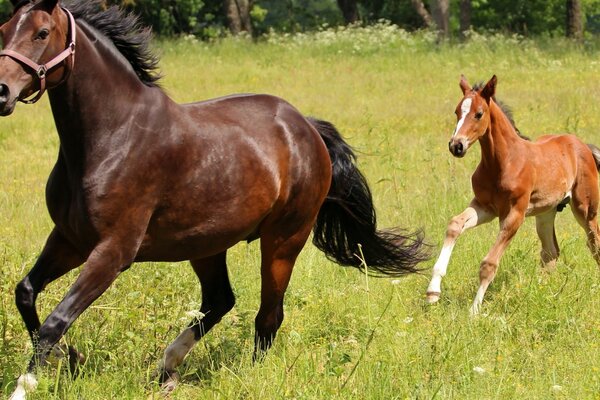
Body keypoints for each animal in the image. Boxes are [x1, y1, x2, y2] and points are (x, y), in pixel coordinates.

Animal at [1, 0, 432, 396]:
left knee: (268, 315)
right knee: (220, 300)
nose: (2, 91)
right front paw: (69, 357)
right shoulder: (70, 239)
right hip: (206, 244)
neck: (112, 136)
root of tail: (306, 127)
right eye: (4, 28)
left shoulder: (113, 252)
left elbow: (56, 320)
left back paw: (246, 376)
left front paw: (28, 383)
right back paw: (167, 368)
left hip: (283, 241)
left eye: (42, 33)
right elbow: (26, 294)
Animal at [424, 76, 600, 316]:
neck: (503, 162)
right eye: (457, 111)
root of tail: (584, 146)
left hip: (585, 208)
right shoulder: (484, 207)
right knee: (550, 252)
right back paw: (542, 292)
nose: (456, 145)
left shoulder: (514, 214)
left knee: (594, 244)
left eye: (479, 113)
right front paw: (433, 292)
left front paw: (474, 311)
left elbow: (489, 264)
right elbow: (454, 225)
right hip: (546, 212)